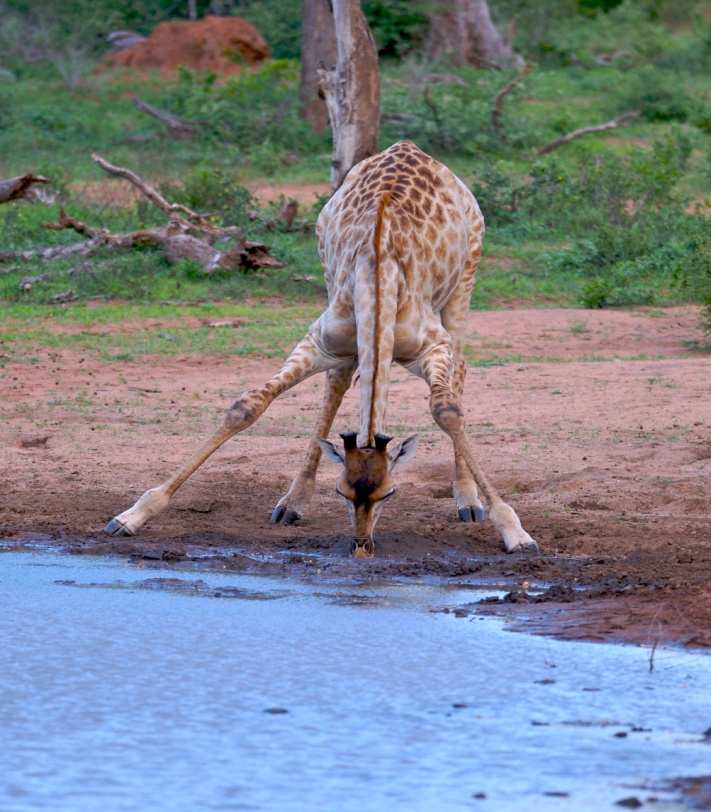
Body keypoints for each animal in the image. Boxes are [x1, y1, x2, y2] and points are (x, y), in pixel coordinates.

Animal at [104, 141, 540, 560]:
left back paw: (467, 500)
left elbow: (447, 410)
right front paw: (131, 515)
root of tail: (410, 147)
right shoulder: (319, 342)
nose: (362, 545)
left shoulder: (434, 346)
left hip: (465, 282)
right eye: (340, 492)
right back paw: (292, 502)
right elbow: (247, 405)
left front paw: (515, 532)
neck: (377, 279)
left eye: (390, 493)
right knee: (338, 381)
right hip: (331, 285)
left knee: (460, 372)